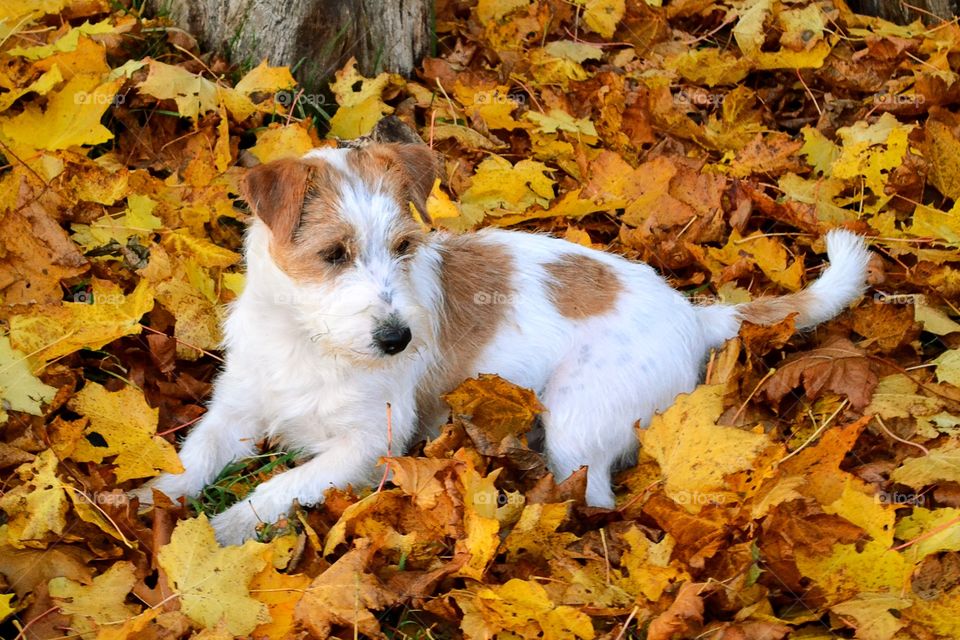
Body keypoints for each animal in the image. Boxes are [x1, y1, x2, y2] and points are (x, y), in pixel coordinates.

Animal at [139, 138, 872, 544]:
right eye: (333, 255)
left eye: (404, 247)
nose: (398, 338)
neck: (312, 342)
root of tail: (692, 315)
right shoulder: (235, 408)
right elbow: (192, 456)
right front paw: (152, 498)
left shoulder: (366, 445)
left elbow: (286, 484)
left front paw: (231, 525)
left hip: (577, 416)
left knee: (595, 496)